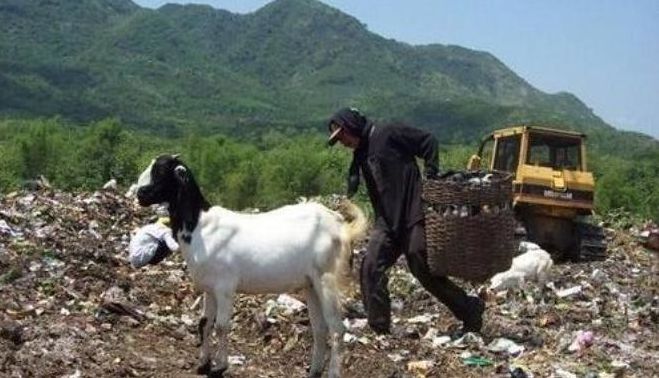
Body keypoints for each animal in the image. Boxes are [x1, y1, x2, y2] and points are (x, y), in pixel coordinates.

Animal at [134, 154, 368, 378]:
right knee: (319, 329)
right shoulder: (209, 288)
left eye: (161, 171)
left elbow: (221, 326)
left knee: (337, 329)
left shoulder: (225, 286)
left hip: (328, 278)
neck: (200, 226)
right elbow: (204, 323)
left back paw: (333, 373)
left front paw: (219, 367)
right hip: (311, 284)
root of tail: (341, 226)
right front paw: (203, 364)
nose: (140, 194)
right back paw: (314, 371)